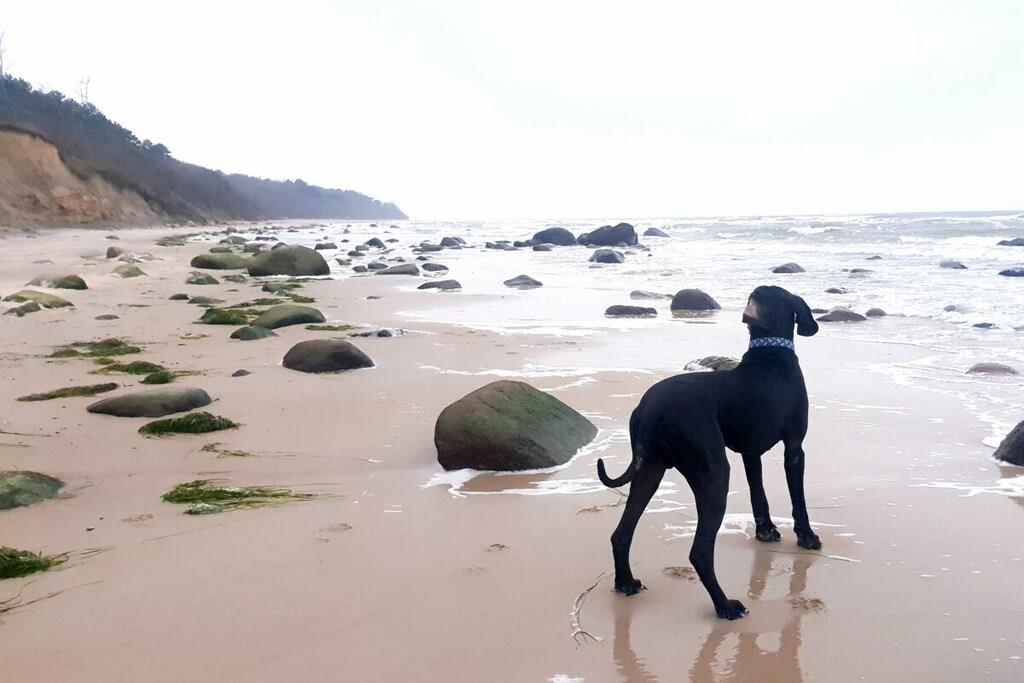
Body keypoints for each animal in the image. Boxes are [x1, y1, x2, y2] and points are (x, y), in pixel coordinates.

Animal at [597, 285, 821, 620]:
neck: (769, 353)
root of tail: (651, 409)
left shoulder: (750, 453)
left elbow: (759, 494)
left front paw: (766, 531)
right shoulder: (794, 448)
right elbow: (799, 500)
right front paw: (807, 536)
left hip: (650, 469)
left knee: (621, 533)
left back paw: (626, 582)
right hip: (714, 473)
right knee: (700, 551)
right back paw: (725, 605)